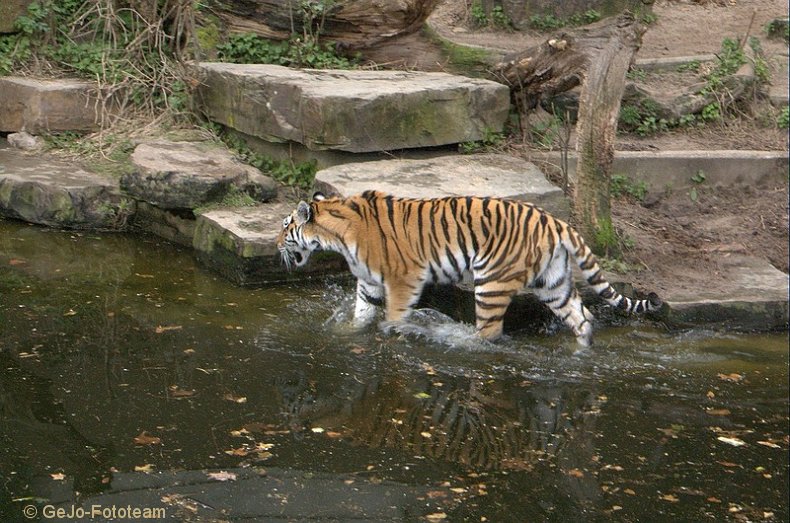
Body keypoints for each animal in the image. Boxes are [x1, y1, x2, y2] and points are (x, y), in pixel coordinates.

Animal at [278, 190, 664, 346]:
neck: (339, 234)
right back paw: (581, 349)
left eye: (285, 226)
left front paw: (395, 331)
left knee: (489, 332)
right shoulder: (369, 283)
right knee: (583, 318)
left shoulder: (404, 278)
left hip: (492, 282)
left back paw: (462, 342)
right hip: (552, 282)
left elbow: (394, 316)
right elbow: (361, 315)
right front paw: (348, 333)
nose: (277, 243)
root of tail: (556, 221)